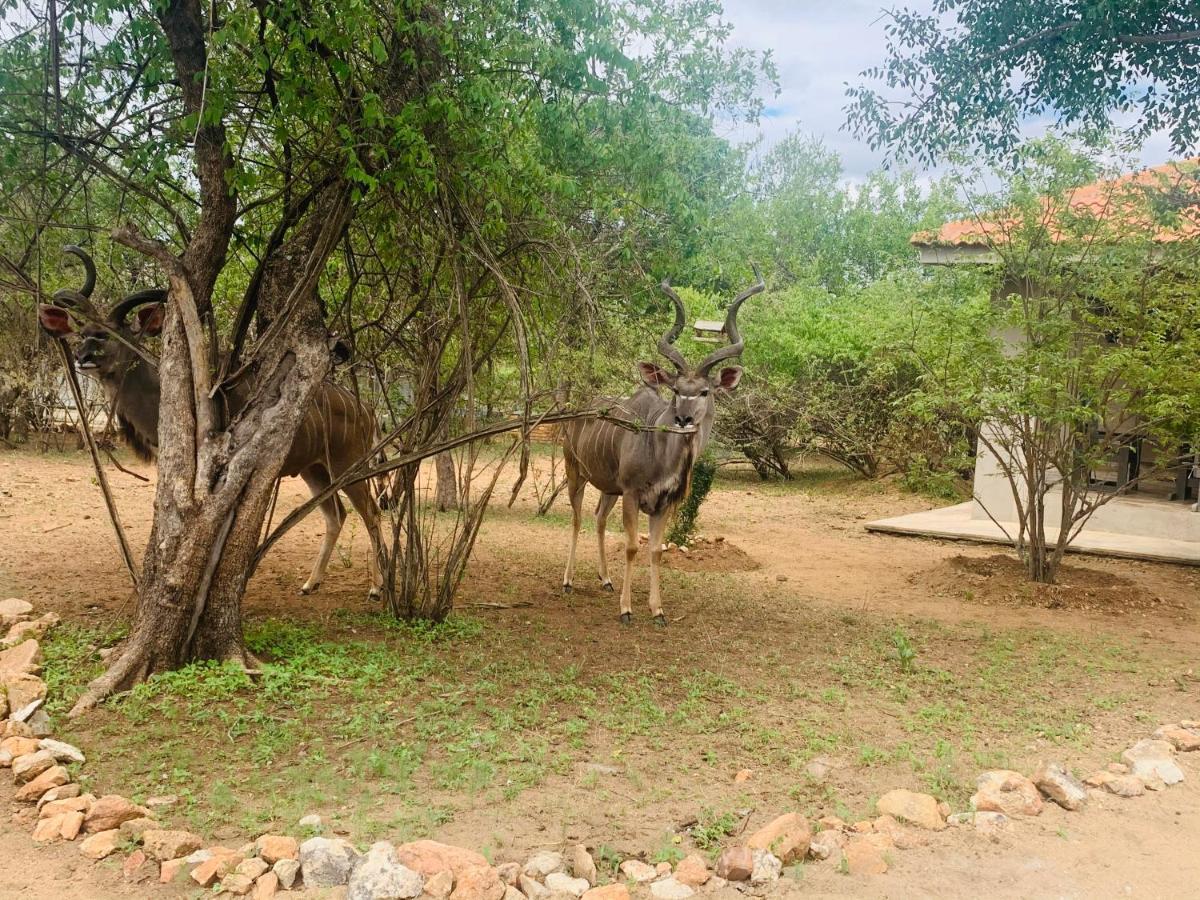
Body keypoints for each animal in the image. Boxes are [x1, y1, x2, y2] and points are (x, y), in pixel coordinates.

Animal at [38, 247, 384, 600]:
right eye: (81, 334)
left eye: (110, 335)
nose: (82, 357)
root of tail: (368, 411)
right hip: (314, 469)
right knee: (336, 514)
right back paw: (310, 583)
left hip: (346, 464)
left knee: (371, 512)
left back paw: (376, 588)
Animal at [559, 264, 763, 624]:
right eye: (676, 390)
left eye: (705, 391)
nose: (683, 419)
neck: (662, 455)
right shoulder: (632, 493)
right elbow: (631, 546)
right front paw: (627, 610)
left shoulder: (662, 503)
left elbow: (655, 550)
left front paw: (657, 610)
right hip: (576, 474)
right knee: (577, 518)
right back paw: (569, 581)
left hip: (608, 488)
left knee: (598, 518)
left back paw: (606, 579)